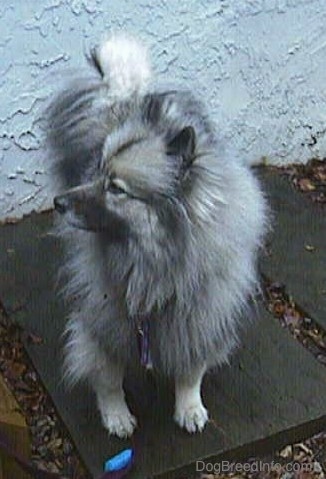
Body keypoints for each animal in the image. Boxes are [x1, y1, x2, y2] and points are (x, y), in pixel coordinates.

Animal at [47, 33, 268, 438]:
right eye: (97, 172)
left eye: (116, 188)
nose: (59, 203)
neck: (155, 262)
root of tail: (124, 98)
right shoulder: (104, 319)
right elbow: (108, 375)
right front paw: (116, 415)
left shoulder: (200, 318)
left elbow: (191, 369)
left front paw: (190, 407)